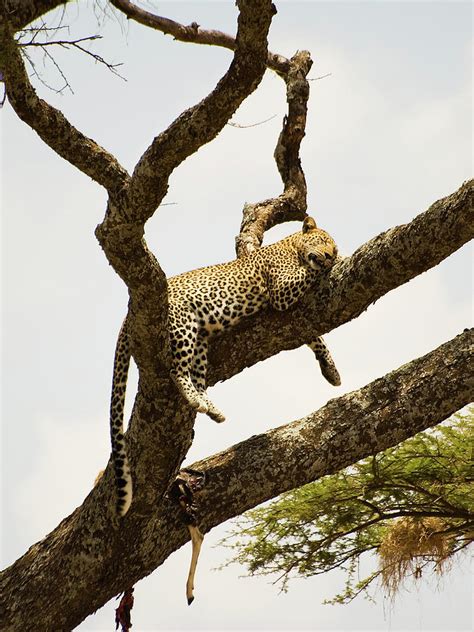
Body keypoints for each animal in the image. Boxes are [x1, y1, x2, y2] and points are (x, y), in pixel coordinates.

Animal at [110, 217, 340, 520]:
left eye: (332, 248)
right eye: (323, 241)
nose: (329, 256)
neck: (292, 248)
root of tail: (128, 313)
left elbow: (317, 338)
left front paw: (331, 371)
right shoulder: (281, 290)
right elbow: (308, 280)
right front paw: (331, 265)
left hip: (200, 341)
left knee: (197, 376)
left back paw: (212, 409)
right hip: (184, 326)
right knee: (177, 371)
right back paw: (195, 399)